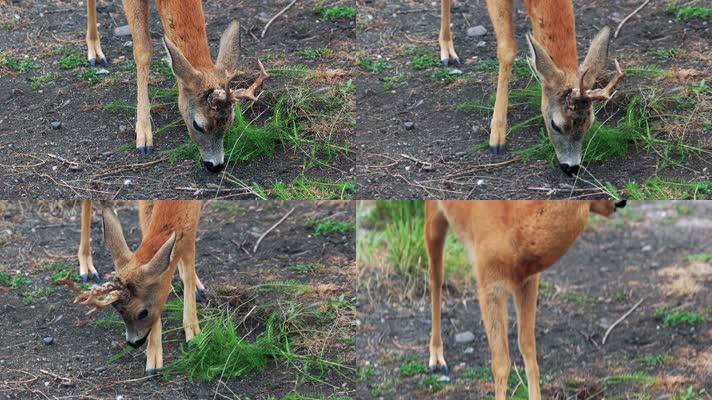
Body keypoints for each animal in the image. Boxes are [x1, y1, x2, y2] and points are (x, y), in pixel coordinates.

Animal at [61, 202, 203, 376]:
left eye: (143, 313)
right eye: (118, 311)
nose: (133, 343)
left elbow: (187, 258)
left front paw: (193, 332)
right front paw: (153, 357)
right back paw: (86, 267)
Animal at [83, 0, 272, 172]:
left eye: (230, 121)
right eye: (198, 125)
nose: (215, 166)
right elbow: (143, 50)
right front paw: (143, 136)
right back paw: (94, 51)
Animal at [426, 200, 624, 400]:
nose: (621, 201)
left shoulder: (528, 281)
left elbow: (528, 348)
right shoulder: (488, 284)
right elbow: (501, 362)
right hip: (433, 217)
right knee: (436, 277)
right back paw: (436, 360)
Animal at [436, 0, 624, 175]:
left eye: (590, 123)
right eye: (555, 124)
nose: (571, 168)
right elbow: (507, 50)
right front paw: (497, 138)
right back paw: (447, 52)